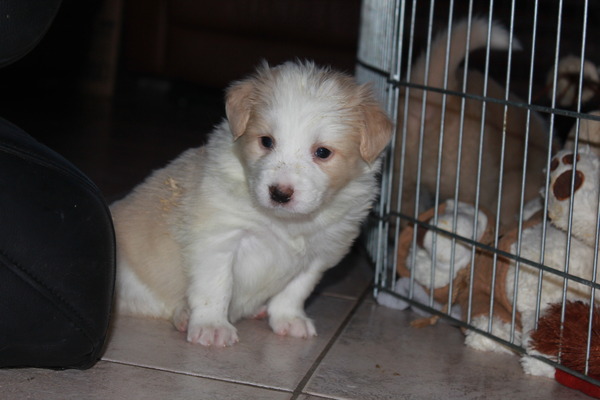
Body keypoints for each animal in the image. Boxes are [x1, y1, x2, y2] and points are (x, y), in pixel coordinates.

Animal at [112, 60, 394, 346]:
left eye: (323, 152)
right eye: (266, 141)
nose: (280, 193)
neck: (285, 223)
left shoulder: (319, 254)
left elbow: (295, 291)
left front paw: (289, 319)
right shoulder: (218, 240)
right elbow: (215, 287)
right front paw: (212, 326)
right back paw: (184, 316)